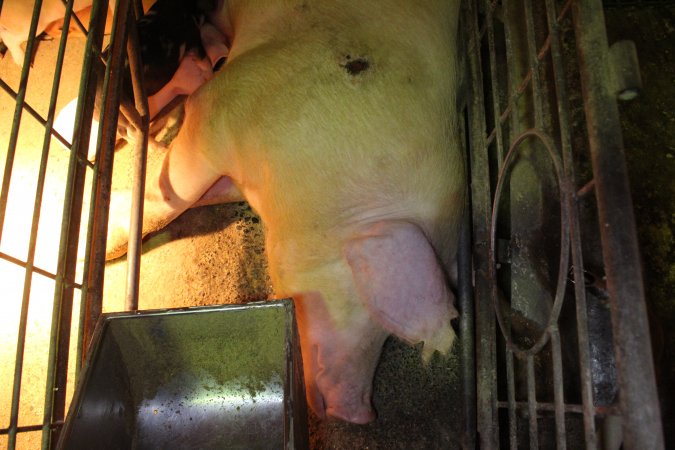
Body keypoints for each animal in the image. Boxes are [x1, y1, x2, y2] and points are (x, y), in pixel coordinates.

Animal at [107, 0, 464, 426]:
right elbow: (173, 196)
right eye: (370, 308)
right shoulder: (222, 107)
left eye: (390, 338)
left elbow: (200, 194)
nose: (361, 415)